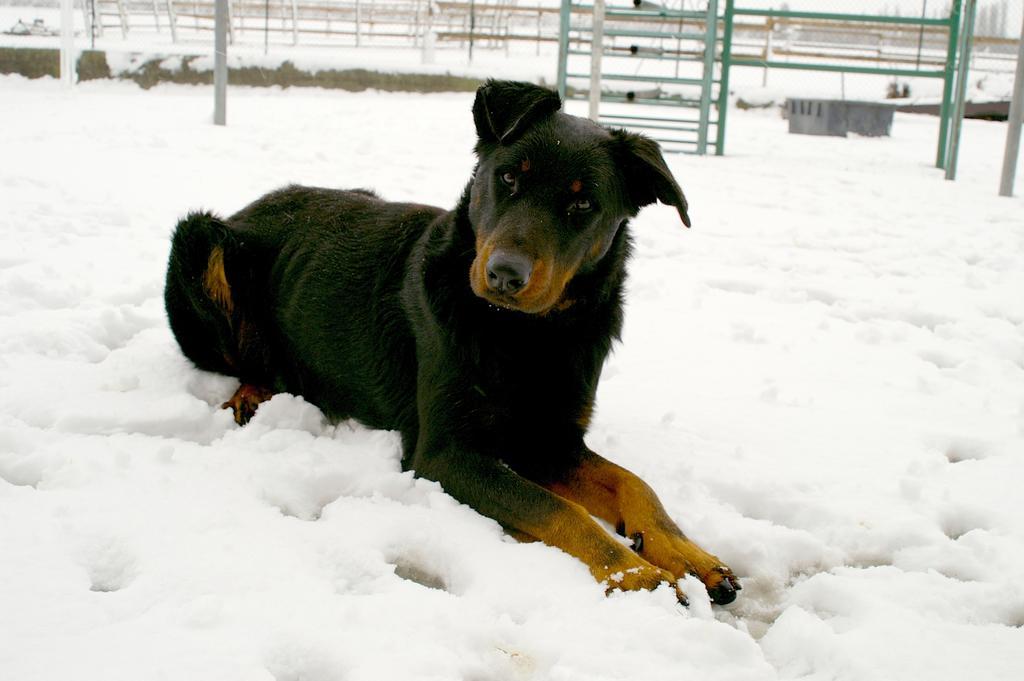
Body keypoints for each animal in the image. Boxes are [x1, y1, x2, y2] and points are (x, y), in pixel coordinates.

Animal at [167, 79, 745, 606]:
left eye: (583, 205)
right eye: (508, 177)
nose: (505, 274)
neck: (527, 334)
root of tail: (250, 207)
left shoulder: (551, 439)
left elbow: (636, 484)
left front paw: (688, 553)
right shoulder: (445, 453)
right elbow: (556, 508)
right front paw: (636, 575)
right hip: (202, 239)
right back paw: (254, 392)